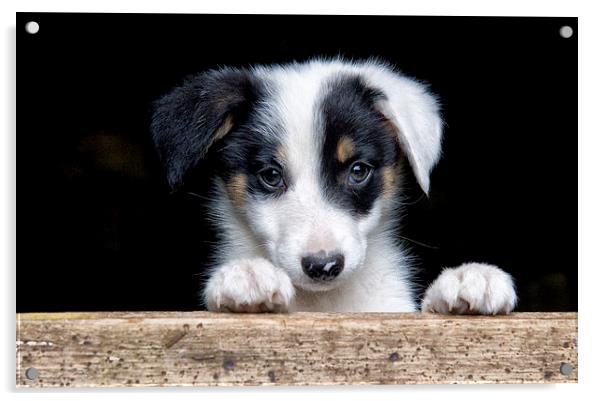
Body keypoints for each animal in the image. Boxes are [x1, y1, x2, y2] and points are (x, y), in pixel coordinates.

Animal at [151, 57, 516, 314]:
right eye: (270, 175)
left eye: (358, 170)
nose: (323, 266)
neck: (324, 303)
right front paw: (247, 275)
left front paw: (468, 280)